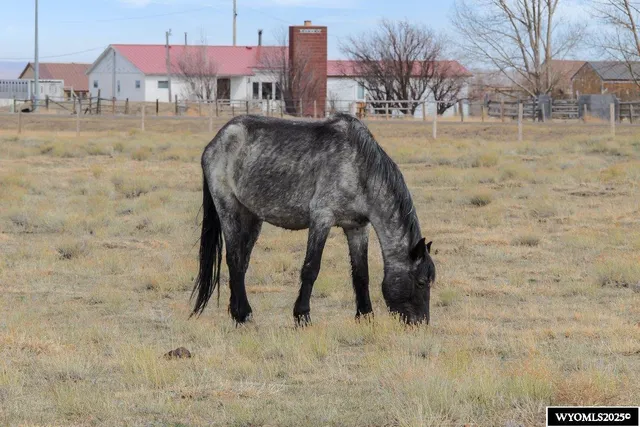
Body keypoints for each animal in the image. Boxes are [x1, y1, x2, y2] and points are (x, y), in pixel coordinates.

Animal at [191, 113, 435, 325]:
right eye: (421, 282)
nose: (420, 323)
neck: (359, 167)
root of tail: (217, 140)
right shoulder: (321, 219)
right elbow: (311, 268)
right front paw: (302, 315)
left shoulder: (357, 228)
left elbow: (361, 273)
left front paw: (365, 315)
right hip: (229, 210)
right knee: (233, 259)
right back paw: (242, 314)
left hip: (251, 217)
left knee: (242, 262)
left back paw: (238, 313)